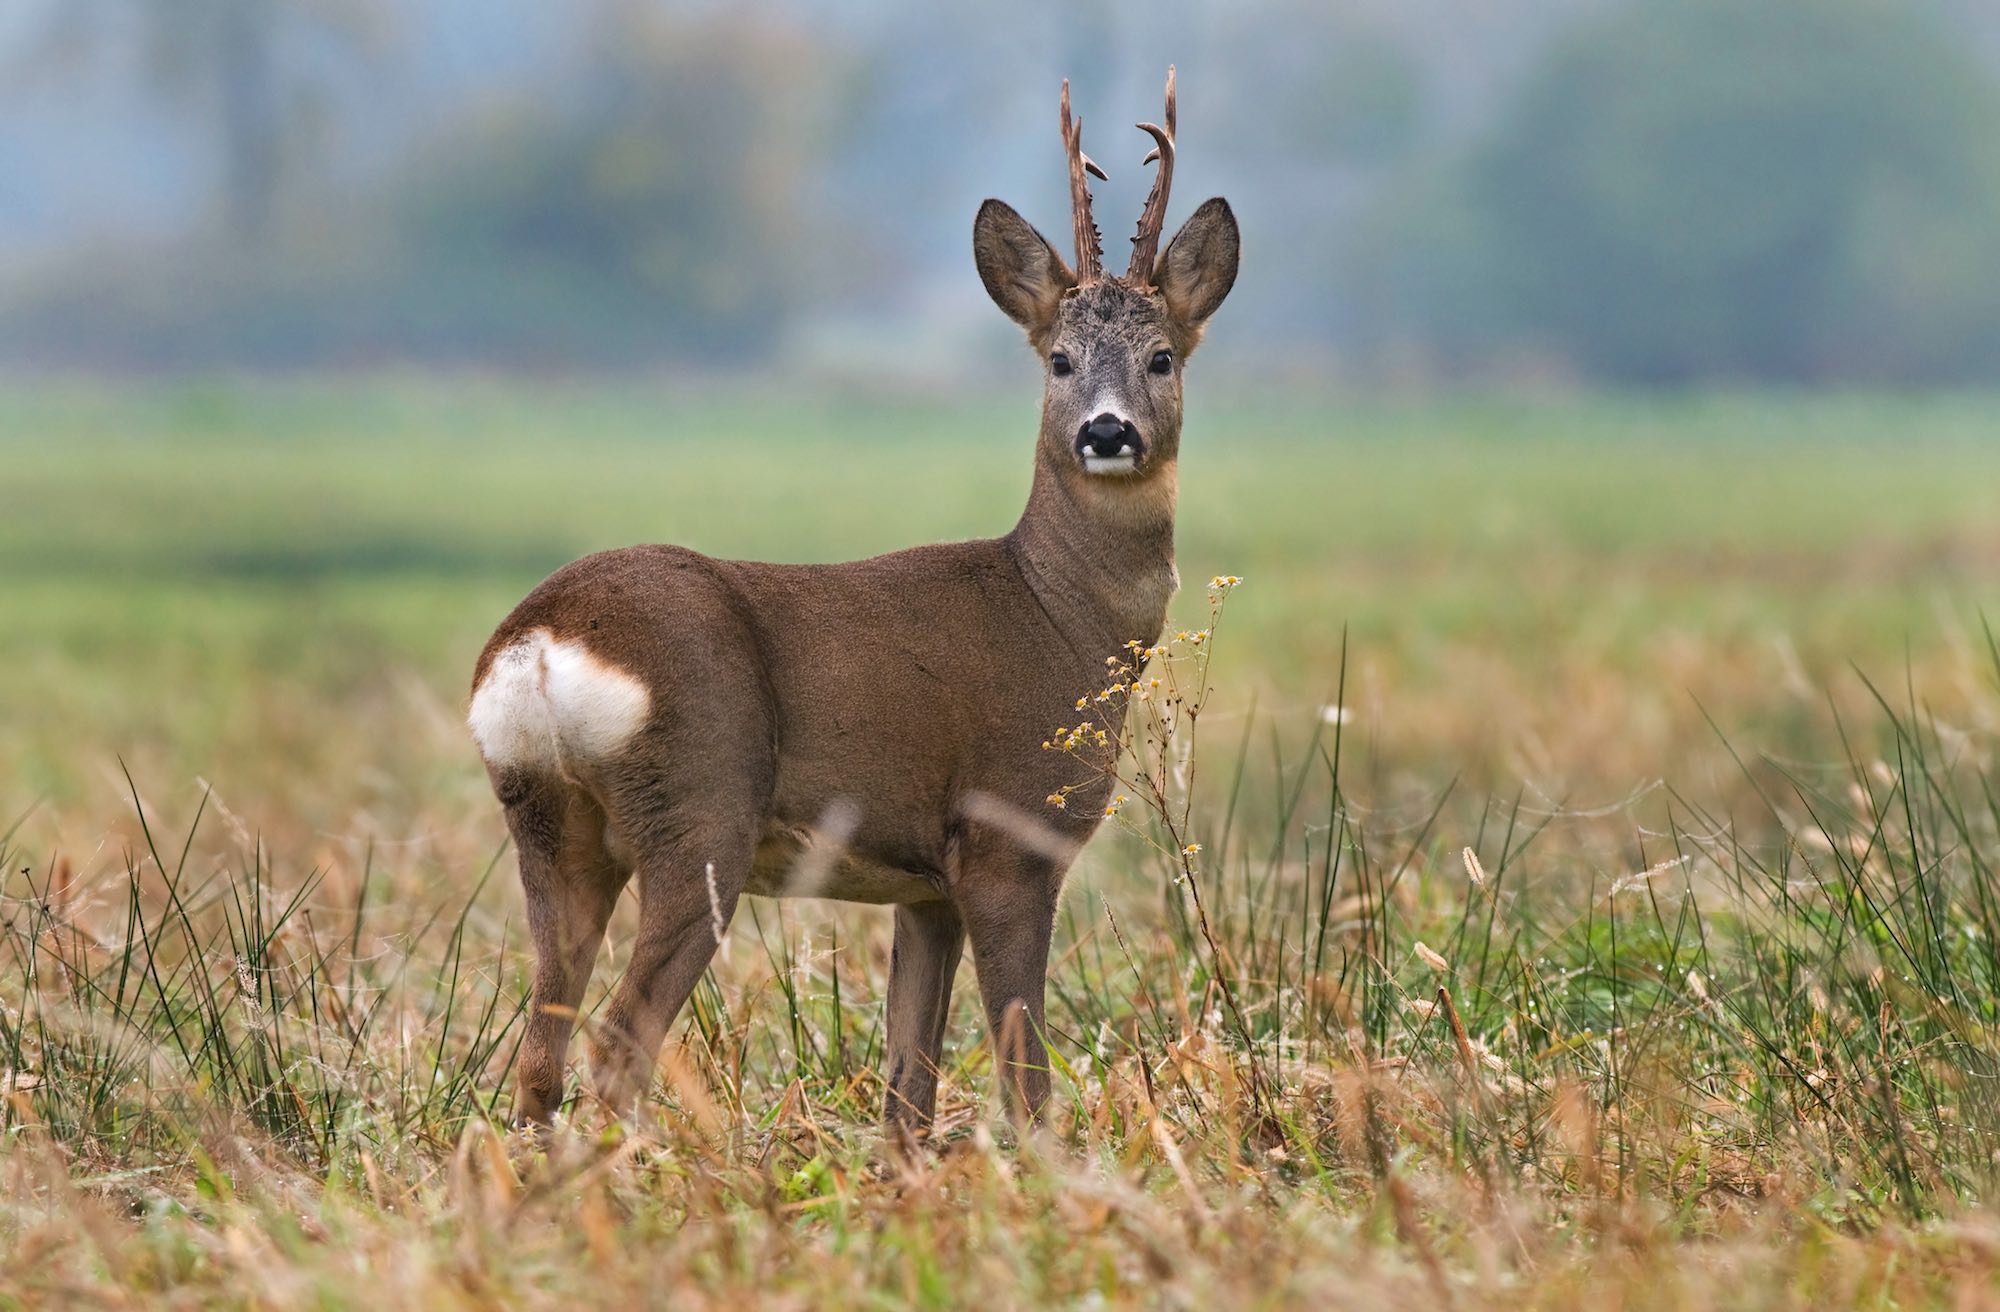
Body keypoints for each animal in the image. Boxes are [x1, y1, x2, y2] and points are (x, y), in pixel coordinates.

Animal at [474, 69, 1240, 1136]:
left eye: (1163, 355)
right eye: (1057, 359)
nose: (1107, 431)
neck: (1059, 616)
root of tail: (541, 643)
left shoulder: (925, 890)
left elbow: (906, 1093)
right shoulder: (1005, 837)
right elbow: (1024, 1073)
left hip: (552, 827)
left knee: (539, 1054)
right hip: (700, 811)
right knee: (617, 1041)